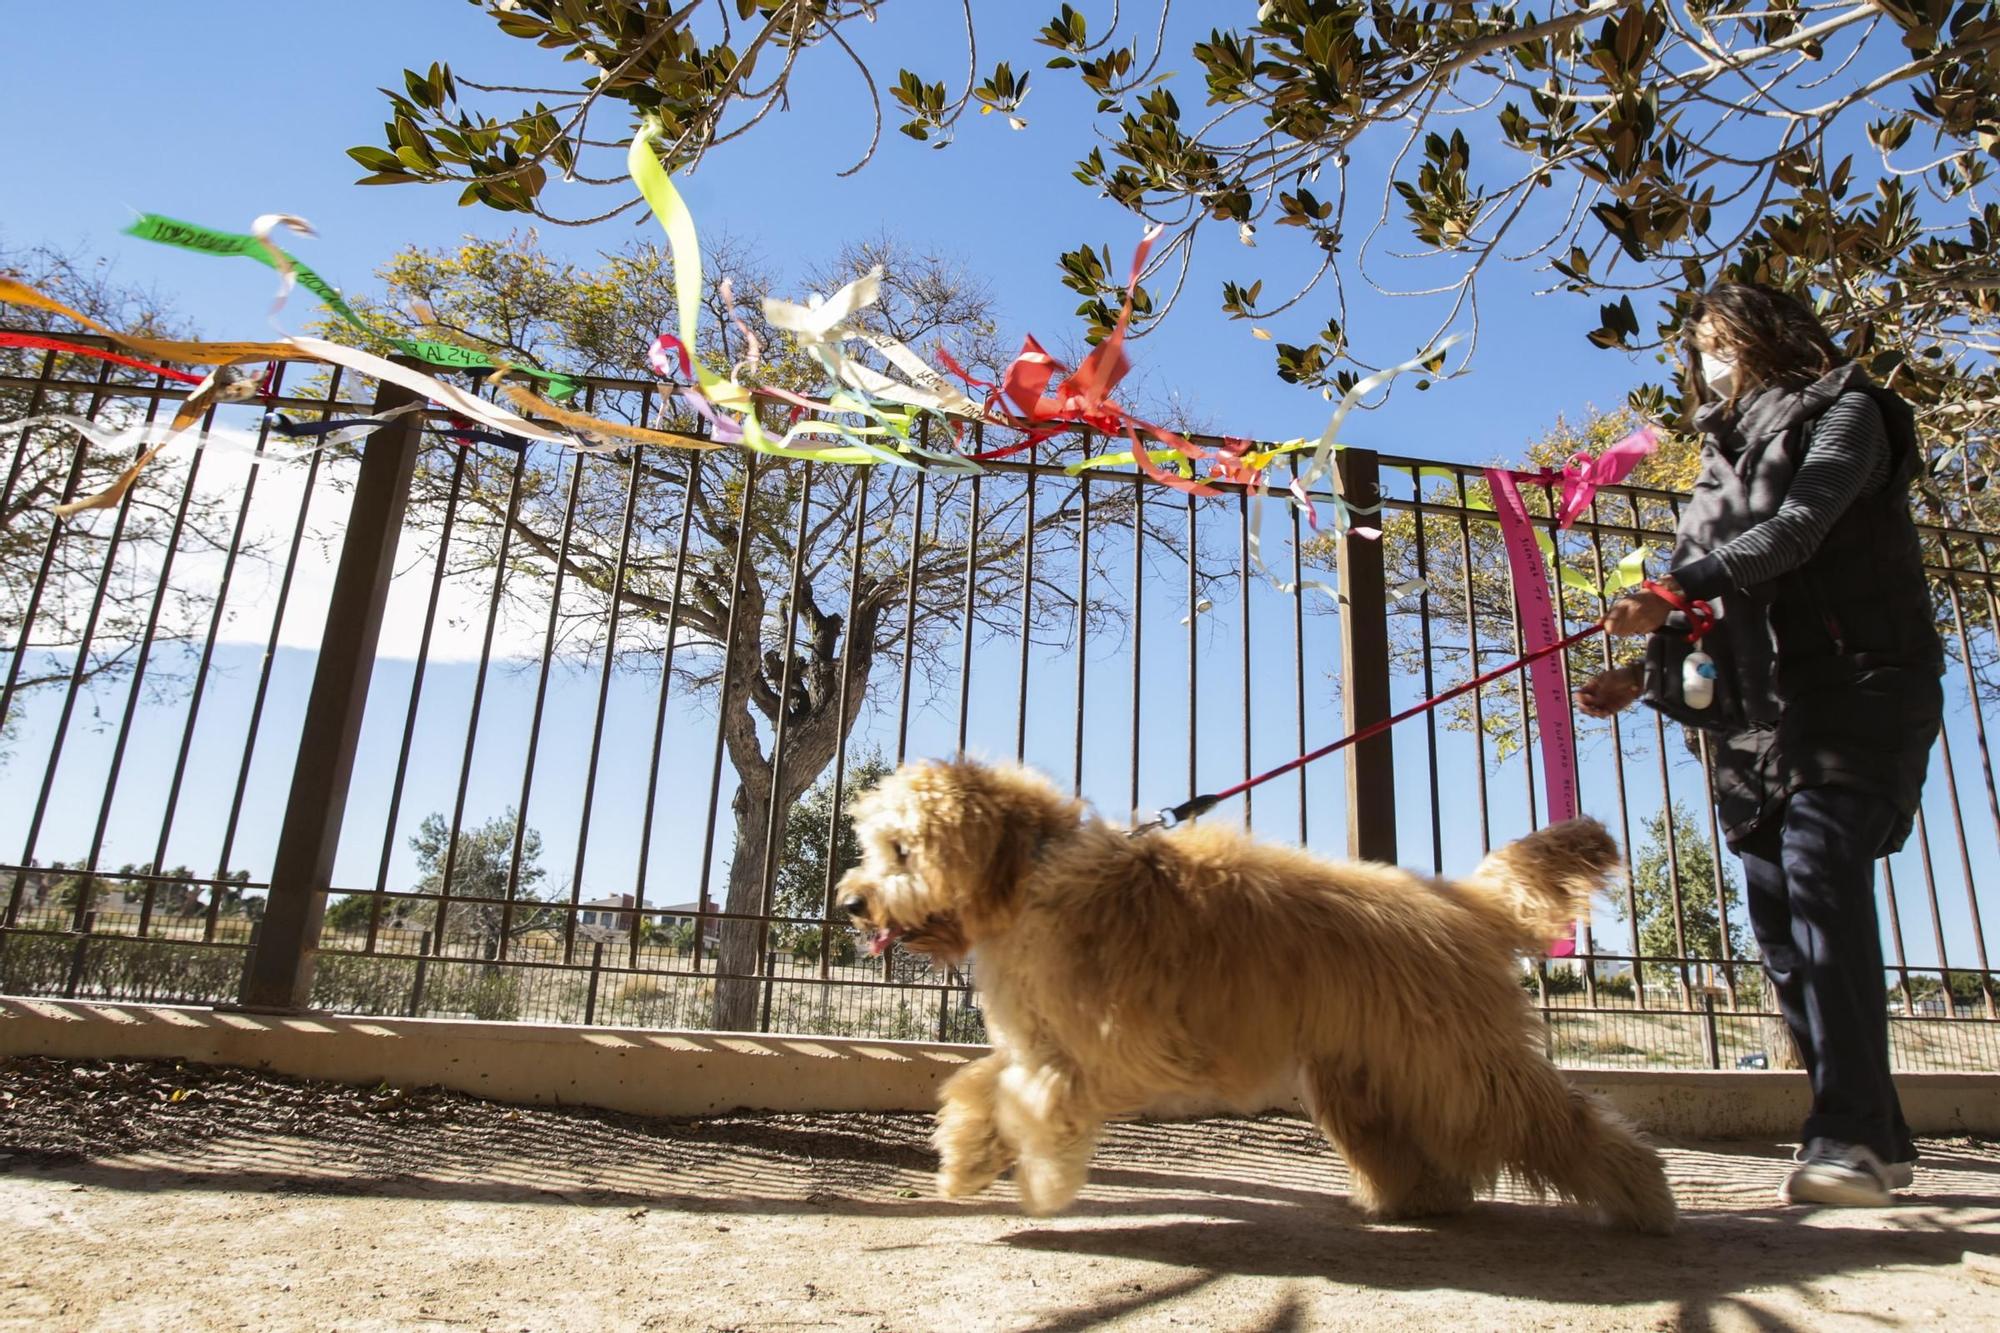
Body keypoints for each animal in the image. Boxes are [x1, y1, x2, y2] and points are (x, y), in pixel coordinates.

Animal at [836, 752, 1680, 1232]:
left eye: (902, 849)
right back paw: (1411, 1202)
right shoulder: (1048, 1043)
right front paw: (967, 1156)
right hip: (1366, 1077)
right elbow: (990, 1083)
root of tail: (1459, 901)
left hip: (1462, 1072)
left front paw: (1038, 1179)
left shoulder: (1114, 1051)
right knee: (1414, 1153)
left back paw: (1644, 1199)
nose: (851, 903)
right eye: (876, 847)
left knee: (1566, 1123)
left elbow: (1031, 1098)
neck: (1033, 873)